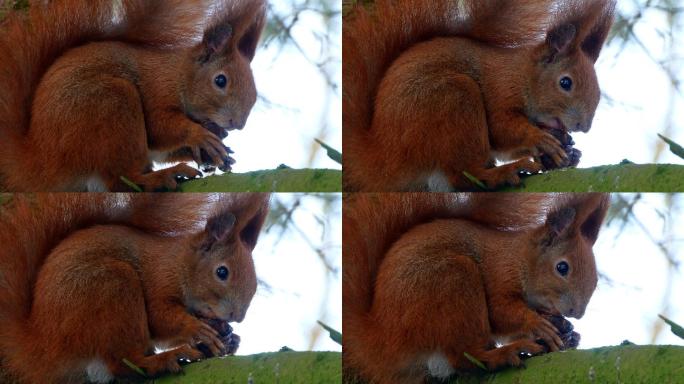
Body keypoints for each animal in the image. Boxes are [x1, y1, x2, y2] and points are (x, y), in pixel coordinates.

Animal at [0, 0, 266, 192]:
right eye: (220, 80)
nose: (237, 124)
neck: (178, 74)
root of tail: (41, 159)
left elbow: (163, 149)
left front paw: (216, 146)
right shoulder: (157, 89)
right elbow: (160, 127)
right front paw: (199, 135)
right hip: (111, 104)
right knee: (120, 179)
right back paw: (159, 178)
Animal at [0, 194, 268, 382]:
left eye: (255, 284)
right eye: (222, 272)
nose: (237, 317)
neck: (179, 262)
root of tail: (42, 343)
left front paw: (228, 335)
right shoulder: (158, 278)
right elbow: (160, 318)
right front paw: (198, 329)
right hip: (112, 287)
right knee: (123, 362)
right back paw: (164, 360)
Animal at [344, 0, 616, 192]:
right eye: (565, 82)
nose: (583, 126)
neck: (522, 74)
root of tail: (384, 153)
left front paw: (568, 149)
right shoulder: (500, 88)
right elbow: (500, 128)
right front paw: (540, 138)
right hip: (452, 100)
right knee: (463, 173)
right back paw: (501, 174)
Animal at [344, 194, 608, 382]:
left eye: (596, 281)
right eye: (562, 267)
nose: (577, 313)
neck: (520, 258)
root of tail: (382, 336)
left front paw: (566, 330)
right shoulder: (499, 274)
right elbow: (501, 312)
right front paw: (537, 323)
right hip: (453, 282)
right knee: (464, 357)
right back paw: (501, 355)